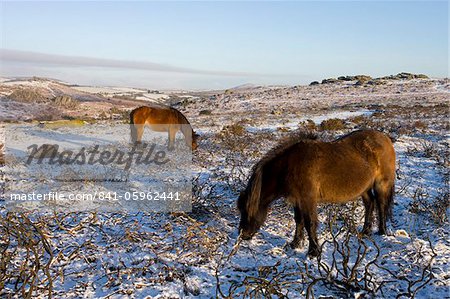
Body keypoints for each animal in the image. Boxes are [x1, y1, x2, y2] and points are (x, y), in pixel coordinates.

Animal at [237, 130, 396, 256]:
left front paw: (313, 251)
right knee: (370, 203)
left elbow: (309, 222)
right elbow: (298, 220)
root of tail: (385, 138)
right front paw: (295, 244)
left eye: (247, 210)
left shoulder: (308, 199)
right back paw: (365, 232)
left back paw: (382, 232)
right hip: (364, 188)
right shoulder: (297, 199)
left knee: (381, 205)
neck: (290, 166)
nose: (242, 234)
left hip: (382, 184)